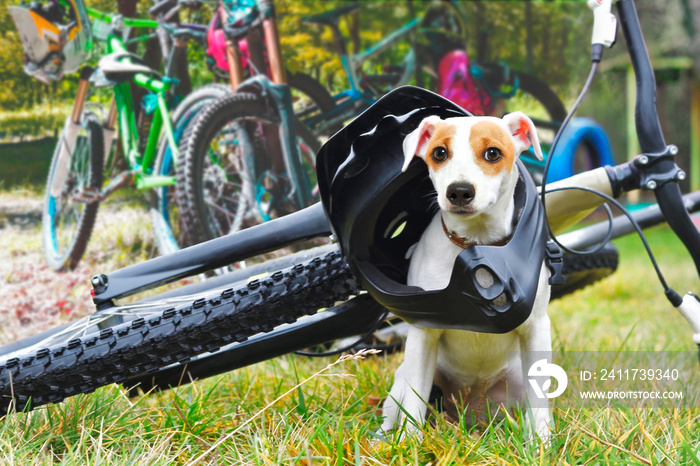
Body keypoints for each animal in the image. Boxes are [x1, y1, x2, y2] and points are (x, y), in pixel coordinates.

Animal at [380, 111, 556, 442]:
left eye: (493, 153)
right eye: (439, 153)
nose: (459, 191)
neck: (476, 243)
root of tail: (470, 408)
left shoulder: (536, 327)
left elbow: (540, 403)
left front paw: (541, 442)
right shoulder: (423, 335)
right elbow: (414, 401)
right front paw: (411, 443)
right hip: (403, 378)